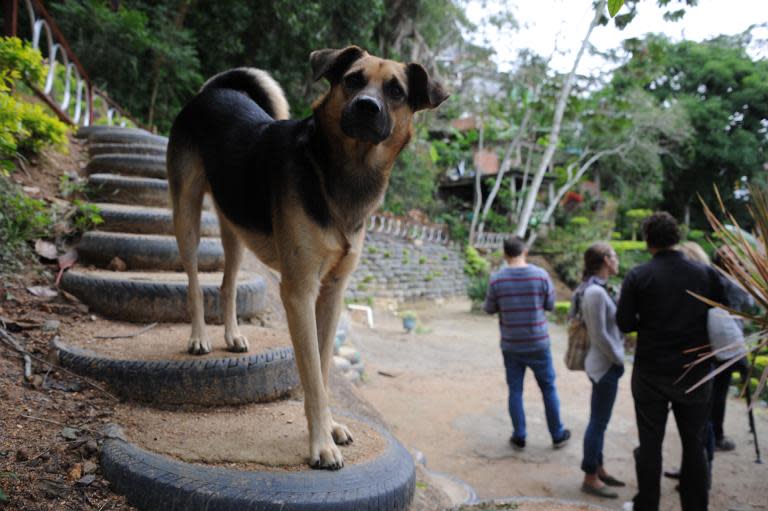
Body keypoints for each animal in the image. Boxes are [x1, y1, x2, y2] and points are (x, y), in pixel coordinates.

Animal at [165, 46, 448, 470]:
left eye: (396, 91)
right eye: (352, 79)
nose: (366, 107)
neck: (342, 175)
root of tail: (213, 91)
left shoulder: (331, 293)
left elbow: (325, 367)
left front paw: (329, 428)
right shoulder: (299, 292)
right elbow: (313, 375)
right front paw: (321, 444)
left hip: (236, 227)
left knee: (228, 284)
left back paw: (232, 336)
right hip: (186, 214)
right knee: (195, 281)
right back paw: (199, 337)